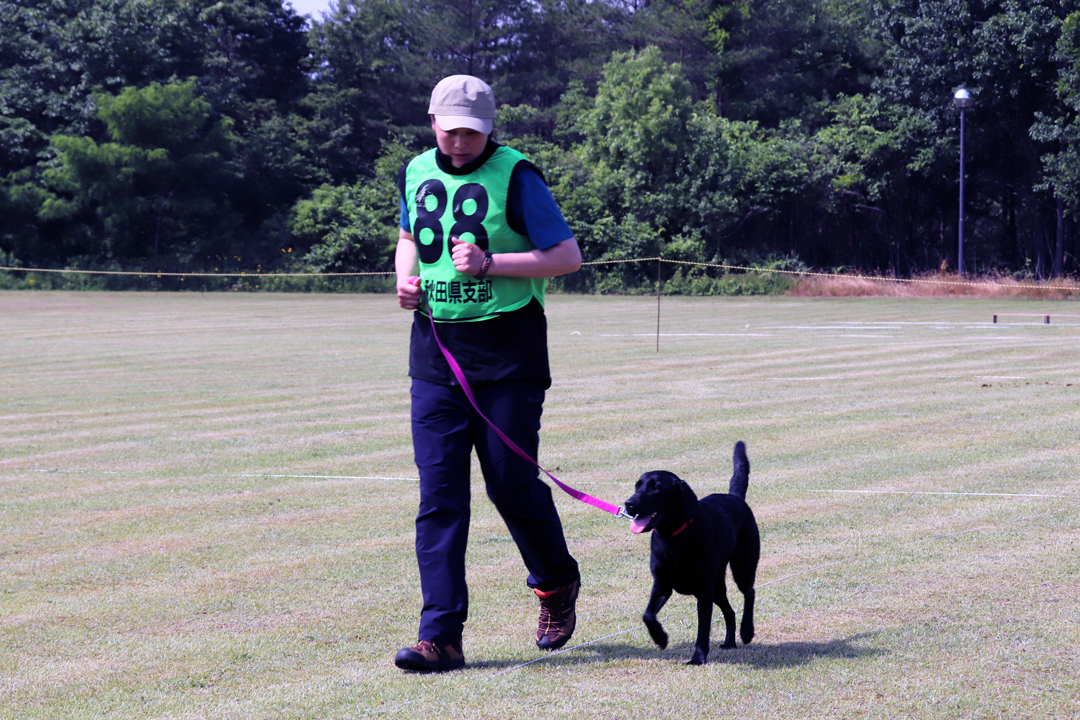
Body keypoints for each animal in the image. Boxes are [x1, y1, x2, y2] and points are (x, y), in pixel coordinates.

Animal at [622, 442, 764, 669]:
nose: (629, 504)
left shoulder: (703, 591)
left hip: (742, 567)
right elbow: (648, 615)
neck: (674, 538)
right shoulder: (662, 585)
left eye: (656, 488)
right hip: (717, 584)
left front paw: (698, 658)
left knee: (749, 593)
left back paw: (746, 632)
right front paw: (661, 638)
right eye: (637, 486)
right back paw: (729, 642)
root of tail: (734, 497)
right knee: (730, 611)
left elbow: (703, 628)